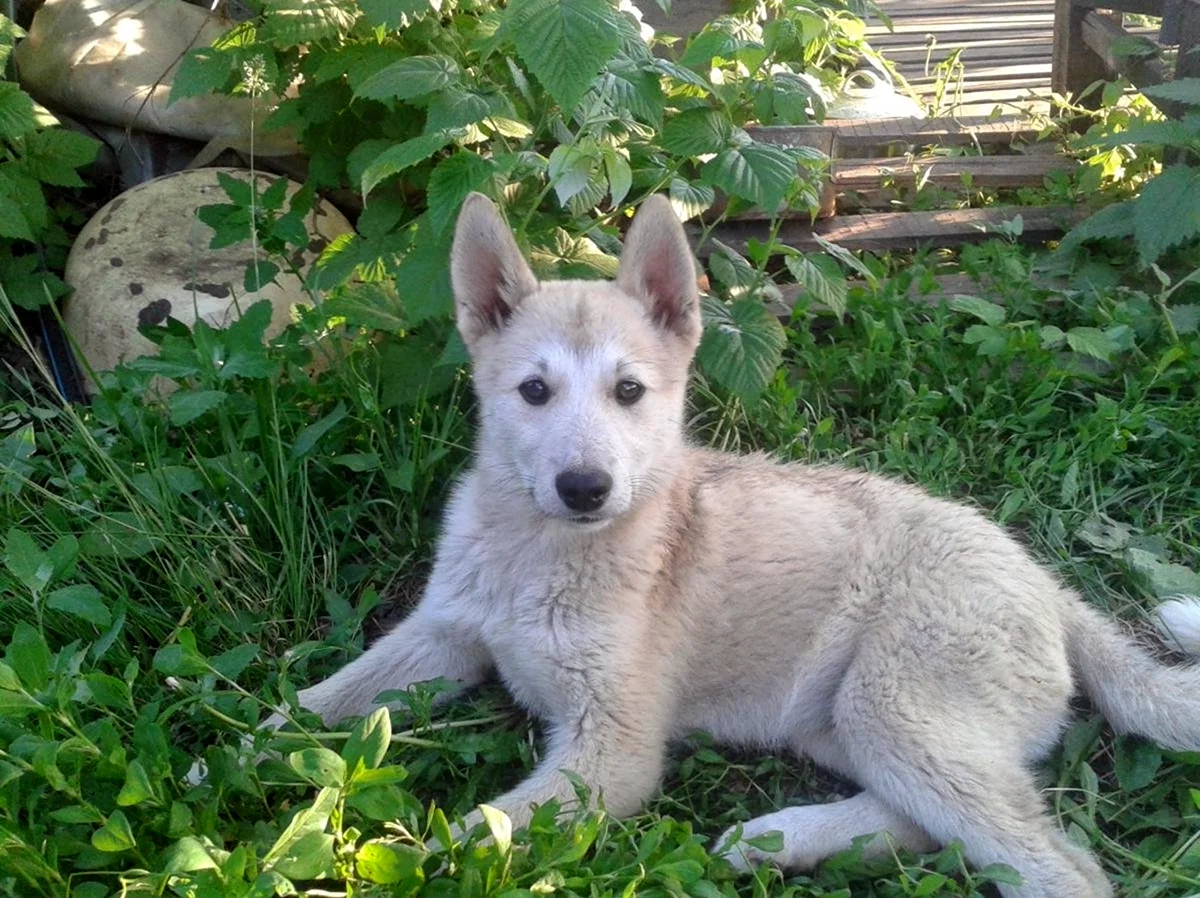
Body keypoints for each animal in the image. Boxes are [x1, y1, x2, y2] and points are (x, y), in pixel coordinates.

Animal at [285, 193, 1195, 893]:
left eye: (629, 392)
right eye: (534, 391)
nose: (586, 488)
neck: (535, 558)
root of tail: (1048, 585)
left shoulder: (611, 753)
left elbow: (468, 834)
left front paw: (346, 858)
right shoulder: (442, 634)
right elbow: (315, 703)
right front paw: (252, 744)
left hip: (892, 703)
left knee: (1059, 866)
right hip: (843, 719)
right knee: (926, 825)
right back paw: (781, 840)